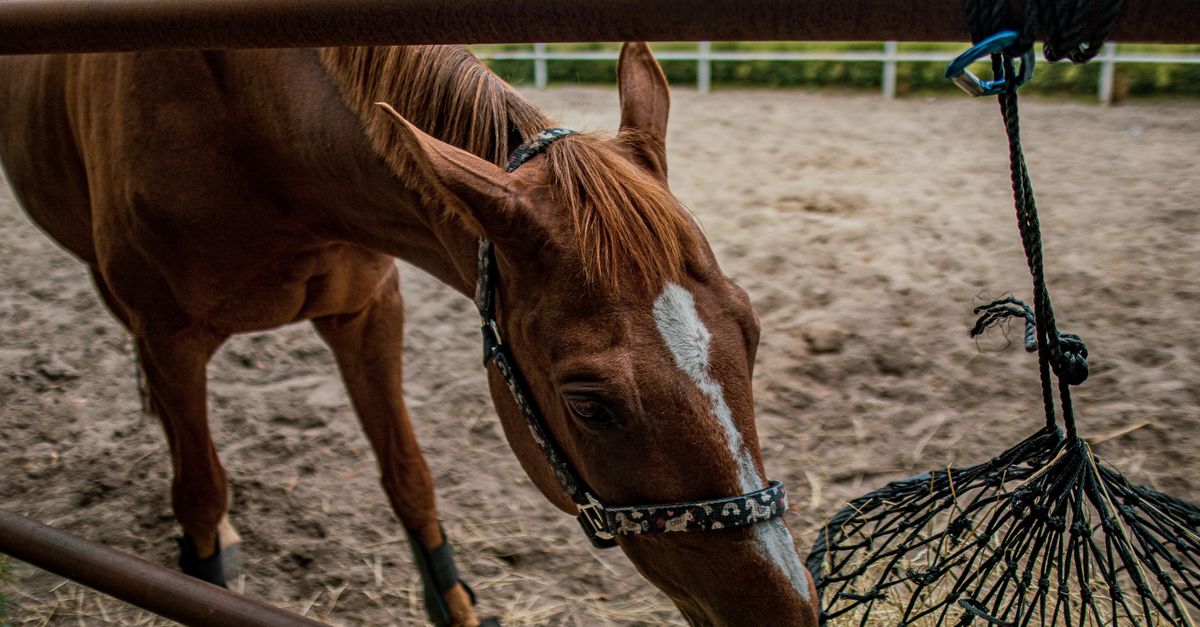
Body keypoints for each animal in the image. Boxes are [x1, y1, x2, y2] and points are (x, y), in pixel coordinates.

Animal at [0, 42, 818, 625]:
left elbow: (410, 478)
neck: (251, 131)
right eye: (588, 403)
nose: (781, 607)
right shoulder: (169, 334)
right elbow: (199, 492)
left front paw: (453, 603)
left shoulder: (369, 313)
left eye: (751, 333)